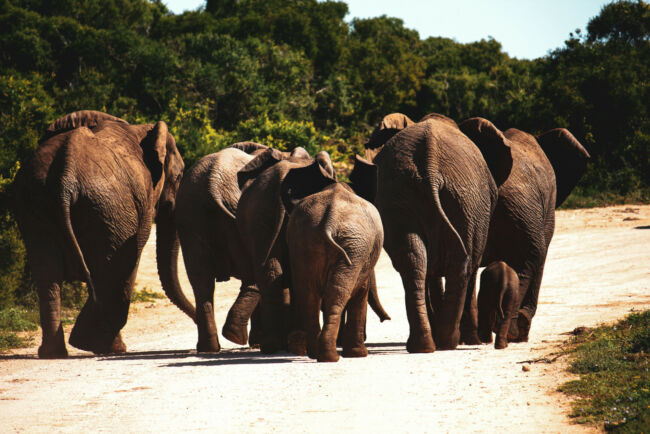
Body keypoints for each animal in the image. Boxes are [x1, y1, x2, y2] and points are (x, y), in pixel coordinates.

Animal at [12, 110, 191, 358]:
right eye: (179, 175)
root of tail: (65, 178)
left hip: (37, 202)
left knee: (48, 273)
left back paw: (55, 353)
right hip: (108, 208)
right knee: (110, 268)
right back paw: (104, 347)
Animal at [280, 158, 382, 362]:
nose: (386, 319)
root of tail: (329, 219)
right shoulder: (364, 257)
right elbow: (361, 292)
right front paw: (359, 355)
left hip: (305, 240)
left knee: (309, 294)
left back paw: (317, 354)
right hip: (355, 246)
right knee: (337, 292)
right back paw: (331, 357)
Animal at [356, 116, 494, 352]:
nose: (385, 320)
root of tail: (431, 168)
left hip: (423, 197)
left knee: (415, 261)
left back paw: (427, 345)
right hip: (465, 201)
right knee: (457, 262)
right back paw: (446, 343)